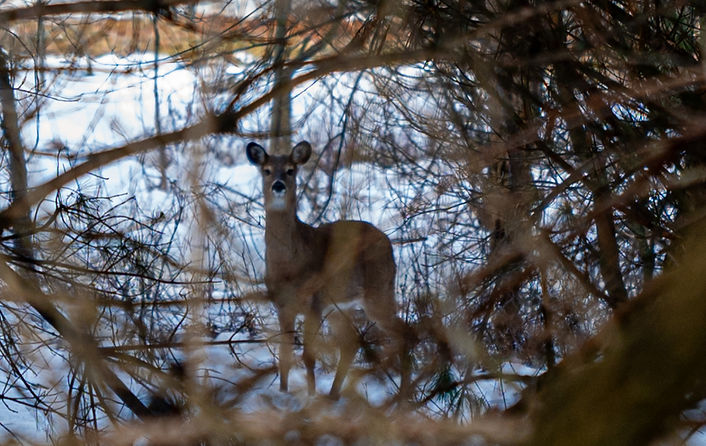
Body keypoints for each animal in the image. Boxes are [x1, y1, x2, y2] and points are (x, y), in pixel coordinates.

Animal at [246, 140, 406, 399]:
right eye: (266, 170)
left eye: (291, 170)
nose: (278, 185)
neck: (288, 266)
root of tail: (387, 240)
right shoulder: (283, 306)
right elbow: (284, 356)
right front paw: (283, 393)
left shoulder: (314, 303)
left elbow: (308, 357)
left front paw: (310, 397)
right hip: (339, 305)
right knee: (351, 342)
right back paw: (333, 395)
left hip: (379, 291)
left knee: (406, 332)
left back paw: (403, 395)